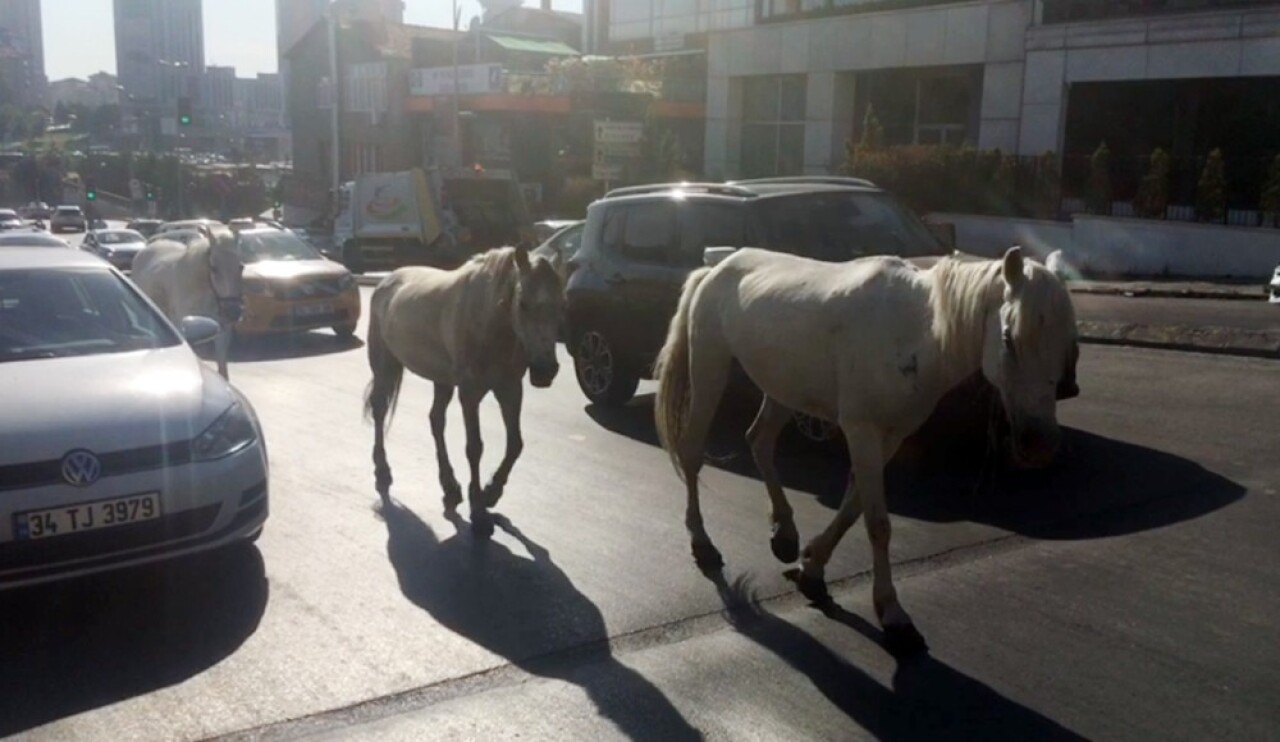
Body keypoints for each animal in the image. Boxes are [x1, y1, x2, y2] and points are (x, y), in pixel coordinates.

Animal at [360, 246, 560, 537]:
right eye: (523, 304)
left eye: (562, 305)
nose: (546, 370)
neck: (490, 322)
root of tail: (386, 281)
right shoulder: (470, 393)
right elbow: (475, 447)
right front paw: (478, 510)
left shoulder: (510, 388)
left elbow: (515, 444)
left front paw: (491, 493)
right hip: (384, 364)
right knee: (380, 409)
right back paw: (383, 471)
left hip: (441, 381)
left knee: (436, 420)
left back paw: (450, 487)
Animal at [655, 246, 1075, 652]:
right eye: (1008, 339)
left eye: (1067, 342)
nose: (1039, 444)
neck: (917, 332)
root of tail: (716, 266)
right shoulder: (861, 431)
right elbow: (877, 523)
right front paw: (893, 615)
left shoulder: (890, 436)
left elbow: (853, 505)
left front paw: (812, 568)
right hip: (709, 368)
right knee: (692, 452)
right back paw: (703, 543)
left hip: (783, 389)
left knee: (759, 441)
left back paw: (784, 534)